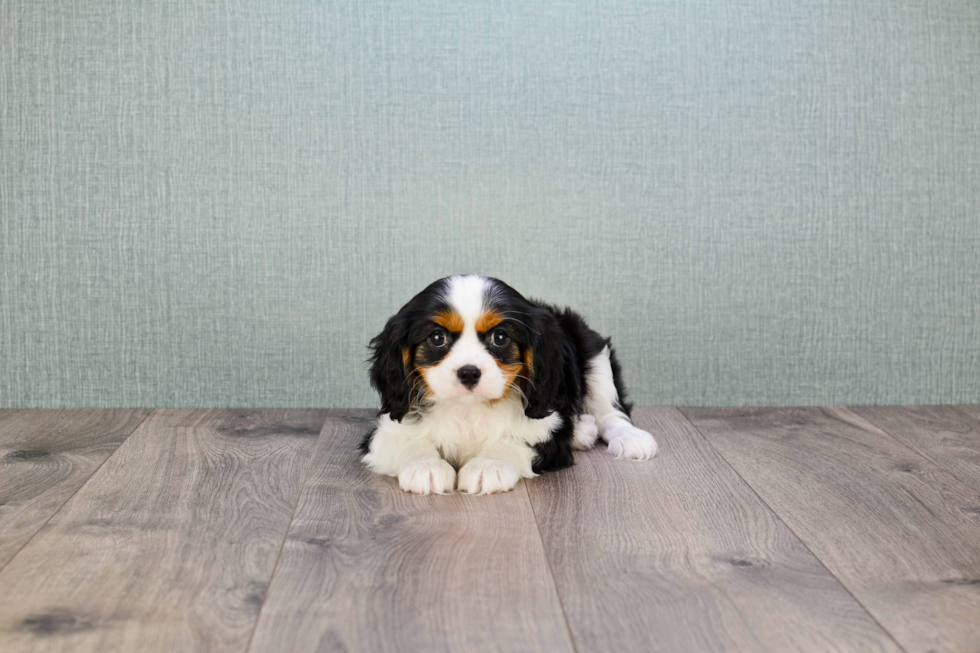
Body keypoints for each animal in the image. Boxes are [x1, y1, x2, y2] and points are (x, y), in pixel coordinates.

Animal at [362, 276, 660, 494]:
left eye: (500, 337)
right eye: (437, 338)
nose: (469, 373)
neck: (469, 409)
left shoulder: (545, 429)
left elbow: (517, 440)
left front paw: (488, 467)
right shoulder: (386, 428)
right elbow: (408, 441)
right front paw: (425, 467)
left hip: (593, 350)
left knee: (611, 411)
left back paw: (629, 437)